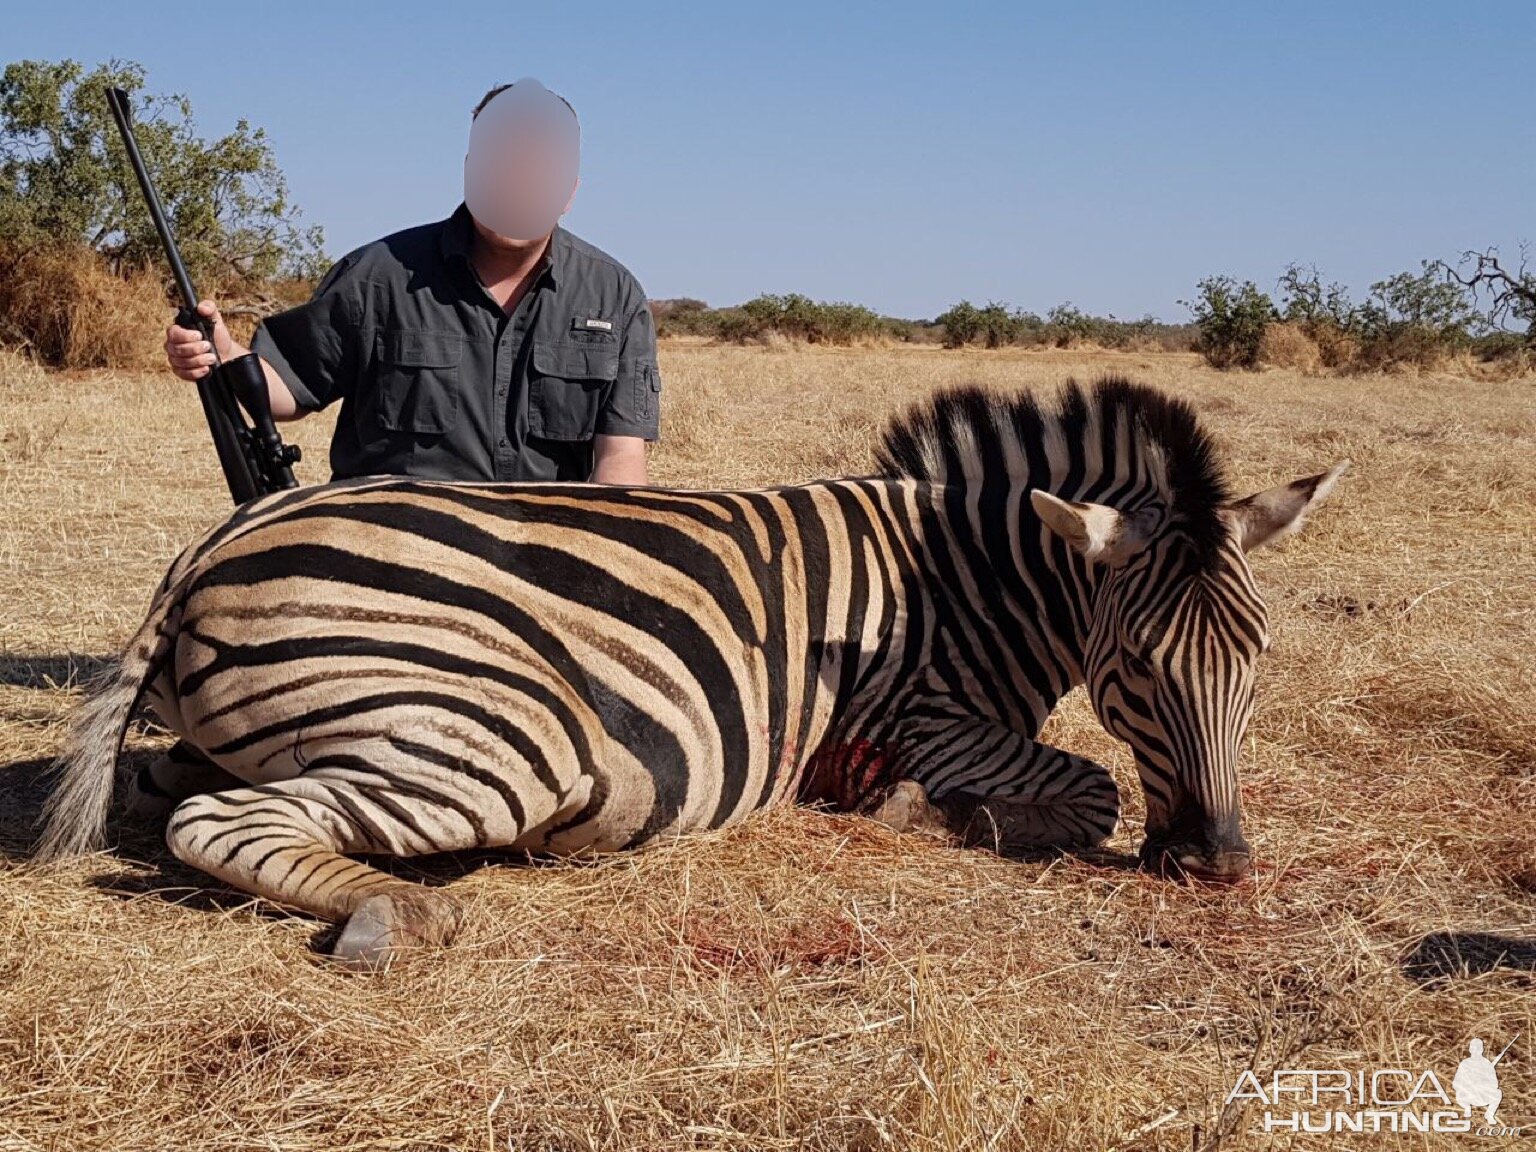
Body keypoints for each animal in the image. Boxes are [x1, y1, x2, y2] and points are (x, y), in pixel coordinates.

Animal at [38, 384, 1345, 970]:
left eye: (1258, 658)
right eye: (1135, 668)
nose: (1222, 866)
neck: (969, 573)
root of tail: (216, 544)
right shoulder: (925, 717)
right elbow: (1093, 787)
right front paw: (930, 815)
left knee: (172, 791)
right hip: (508, 739)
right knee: (226, 824)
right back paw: (394, 912)